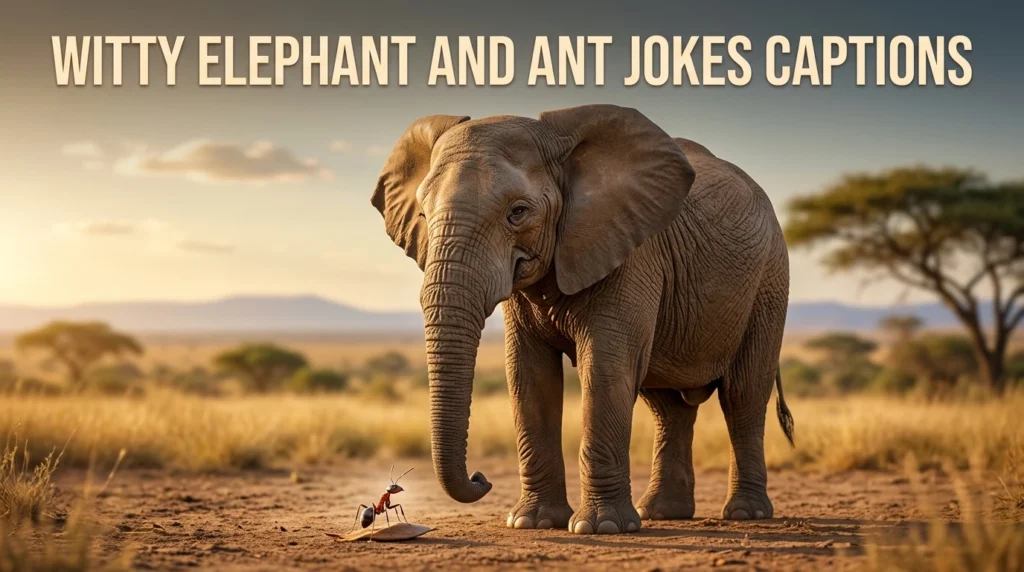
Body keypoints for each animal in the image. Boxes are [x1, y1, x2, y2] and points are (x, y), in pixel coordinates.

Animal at [370, 104, 794, 535]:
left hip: (769, 281)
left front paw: (601, 527)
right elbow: (529, 376)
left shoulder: (630, 249)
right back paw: (662, 513)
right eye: (424, 214)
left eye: (518, 212)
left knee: (743, 394)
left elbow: (605, 367)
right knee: (666, 406)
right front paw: (533, 522)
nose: (481, 478)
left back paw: (745, 514)